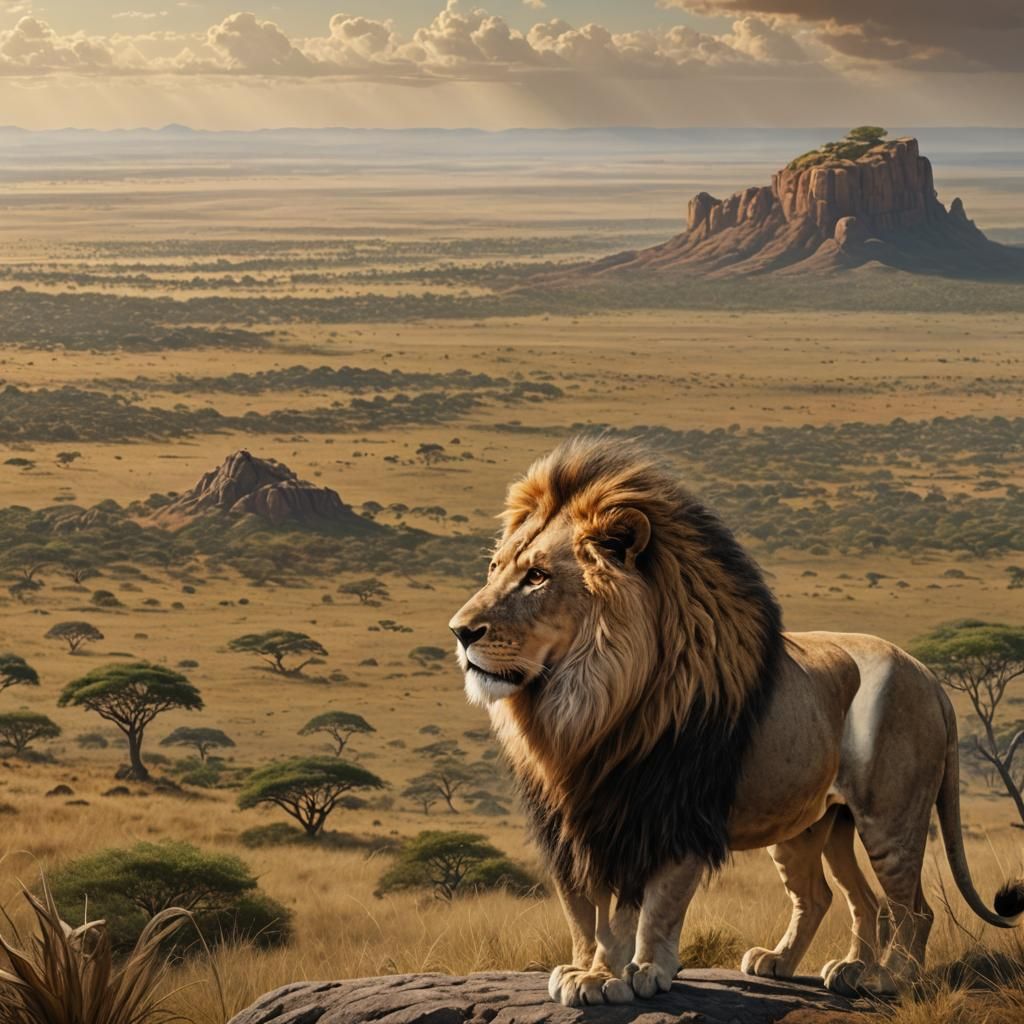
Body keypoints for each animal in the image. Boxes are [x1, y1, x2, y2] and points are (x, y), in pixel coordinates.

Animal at [448, 436, 1024, 1007]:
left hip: (890, 818)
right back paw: (808, 965)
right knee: (837, 897)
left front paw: (636, 972)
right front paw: (587, 970)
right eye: (494, 568)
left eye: (537, 577)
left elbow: (652, 908)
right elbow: (585, 914)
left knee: (912, 907)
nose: (460, 630)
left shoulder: (668, 815)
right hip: (817, 823)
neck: (583, 710)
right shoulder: (574, 826)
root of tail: (929, 676)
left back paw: (889, 977)